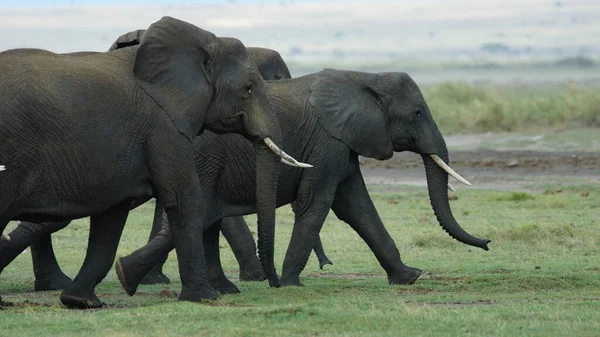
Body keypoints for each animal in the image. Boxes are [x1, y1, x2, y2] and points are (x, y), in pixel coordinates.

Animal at [0, 17, 310, 308]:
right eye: (247, 89)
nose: (274, 285)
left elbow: (113, 216)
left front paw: (82, 301)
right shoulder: (164, 124)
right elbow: (186, 199)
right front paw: (206, 297)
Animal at [113, 69, 492, 296]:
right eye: (417, 113)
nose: (488, 243)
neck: (365, 76)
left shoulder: (344, 143)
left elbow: (357, 208)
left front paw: (410, 276)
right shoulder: (328, 142)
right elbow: (317, 203)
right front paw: (291, 283)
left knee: (202, 219)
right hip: (201, 163)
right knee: (199, 215)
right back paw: (131, 277)